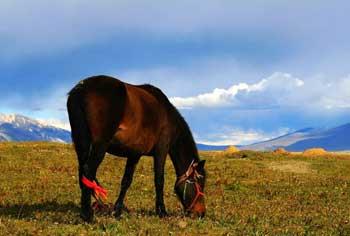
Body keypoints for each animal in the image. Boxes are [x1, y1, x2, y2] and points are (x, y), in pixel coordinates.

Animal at [67, 75, 206, 221]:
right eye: (200, 182)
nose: (201, 213)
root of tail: (81, 88)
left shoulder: (134, 154)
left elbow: (126, 181)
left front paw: (117, 211)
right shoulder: (161, 150)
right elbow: (159, 180)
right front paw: (162, 211)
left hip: (82, 143)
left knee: (83, 171)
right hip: (100, 145)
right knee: (88, 170)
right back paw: (87, 215)